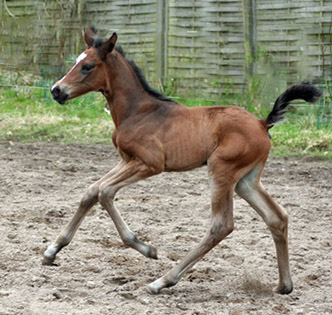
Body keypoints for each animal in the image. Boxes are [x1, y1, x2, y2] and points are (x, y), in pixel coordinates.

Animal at [44, 28, 322, 296]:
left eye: (87, 66)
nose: (56, 90)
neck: (138, 111)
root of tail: (263, 123)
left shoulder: (150, 164)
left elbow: (104, 192)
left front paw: (146, 248)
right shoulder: (126, 160)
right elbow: (91, 191)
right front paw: (51, 251)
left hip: (221, 170)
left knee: (221, 225)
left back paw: (163, 281)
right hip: (246, 180)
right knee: (277, 217)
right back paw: (284, 285)